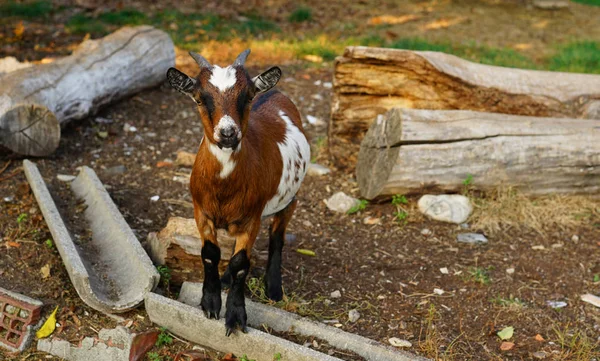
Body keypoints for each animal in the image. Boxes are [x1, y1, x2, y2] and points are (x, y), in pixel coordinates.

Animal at [168, 50, 312, 334]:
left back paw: (274, 287)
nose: (227, 133)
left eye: (247, 96)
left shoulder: (252, 218)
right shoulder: (201, 211)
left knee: (277, 237)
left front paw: (235, 316)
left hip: (289, 199)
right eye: (200, 98)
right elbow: (210, 255)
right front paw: (210, 302)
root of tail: (274, 92)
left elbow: (241, 264)